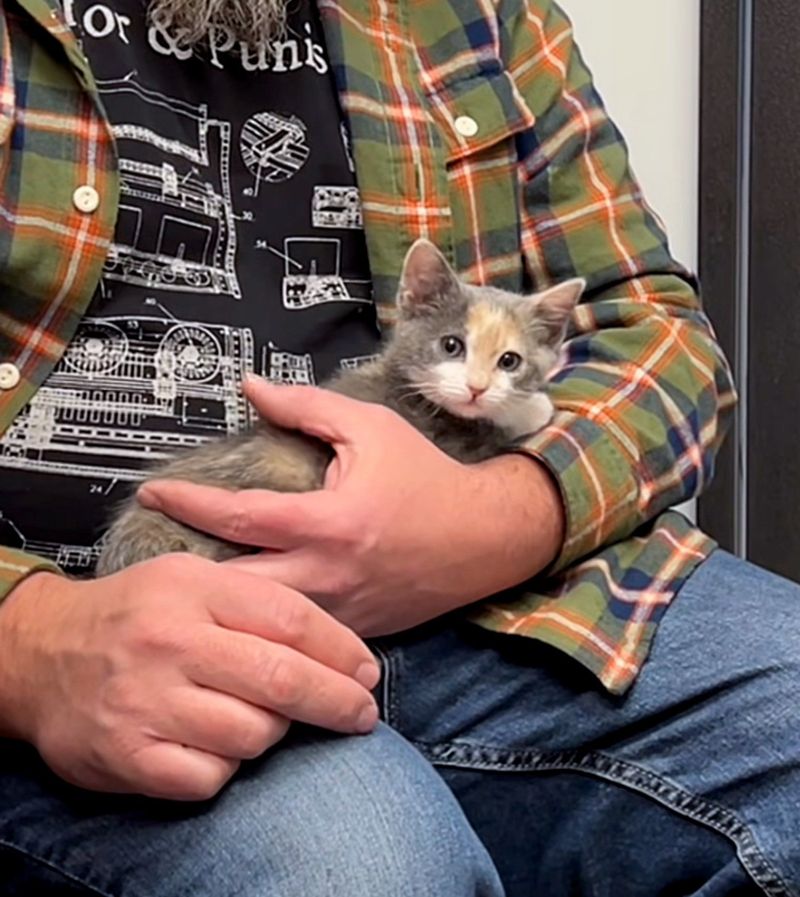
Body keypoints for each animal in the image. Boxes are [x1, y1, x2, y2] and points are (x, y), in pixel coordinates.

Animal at [94, 240, 584, 576]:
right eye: (451, 346)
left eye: (509, 361)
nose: (477, 388)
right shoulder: (443, 443)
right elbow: (492, 434)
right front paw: (533, 408)